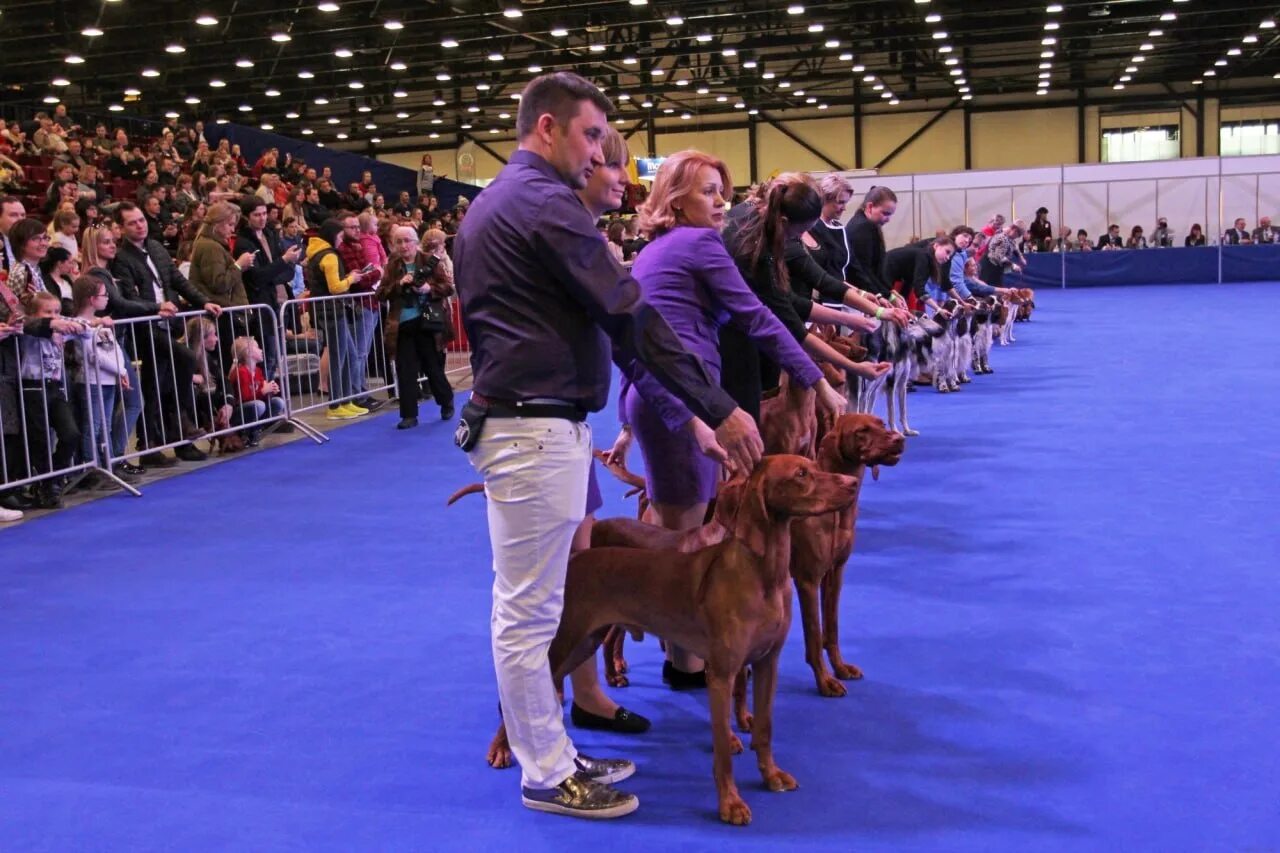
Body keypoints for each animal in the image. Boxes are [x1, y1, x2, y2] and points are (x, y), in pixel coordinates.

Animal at [535, 450, 855, 824]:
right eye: (801, 474)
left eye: (815, 465)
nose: (852, 483)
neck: (765, 573)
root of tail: (573, 559)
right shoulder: (721, 673)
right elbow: (723, 749)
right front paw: (730, 803)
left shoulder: (766, 664)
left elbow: (765, 727)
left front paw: (771, 775)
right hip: (567, 640)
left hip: (585, 641)